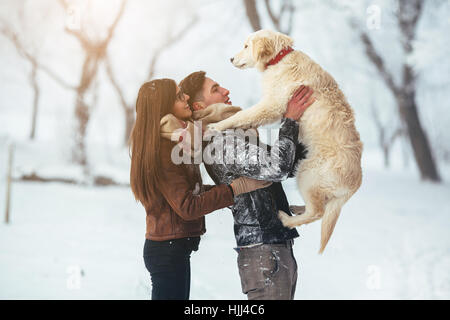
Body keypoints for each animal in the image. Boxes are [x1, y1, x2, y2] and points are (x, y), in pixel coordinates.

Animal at [210, 30, 362, 255]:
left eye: (246, 46)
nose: (230, 59)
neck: (280, 59)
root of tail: (355, 183)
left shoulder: (271, 105)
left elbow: (242, 115)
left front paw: (215, 126)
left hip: (307, 173)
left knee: (318, 212)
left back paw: (286, 219)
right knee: (320, 208)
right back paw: (296, 209)